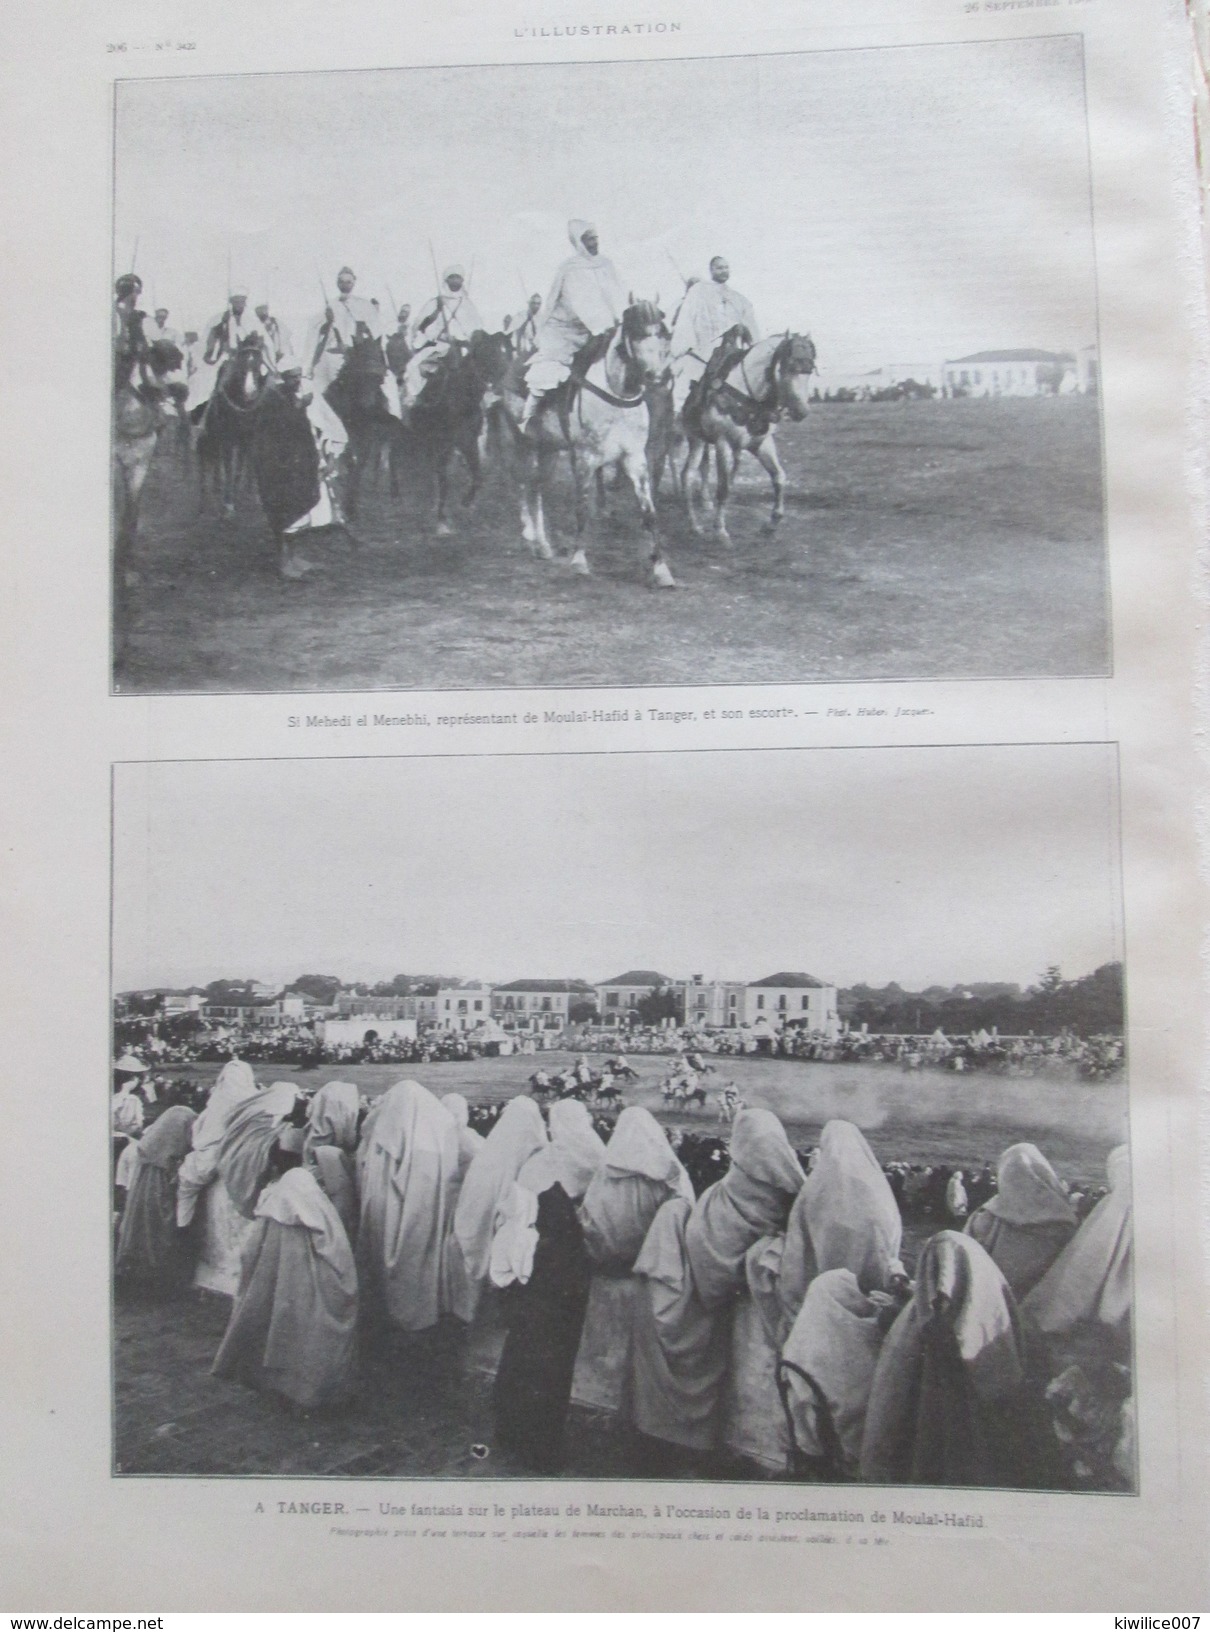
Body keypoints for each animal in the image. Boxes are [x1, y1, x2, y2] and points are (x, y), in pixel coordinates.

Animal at [499, 303, 676, 590]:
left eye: (663, 334)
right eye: (637, 334)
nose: (658, 376)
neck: (617, 396)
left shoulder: (635, 459)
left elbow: (649, 513)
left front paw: (661, 570)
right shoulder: (585, 458)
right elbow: (582, 508)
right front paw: (579, 561)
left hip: (549, 449)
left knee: (536, 487)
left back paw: (543, 545)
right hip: (522, 443)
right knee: (522, 482)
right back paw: (530, 536)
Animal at [676, 329, 816, 541]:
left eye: (809, 370)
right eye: (788, 366)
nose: (802, 412)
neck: (749, 395)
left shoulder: (762, 444)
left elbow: (779, 477)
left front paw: (772, 523)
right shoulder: (723, 443)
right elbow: (723, 488)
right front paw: (720, 530)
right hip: (696, 440)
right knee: (687, 475)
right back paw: (694, 525)